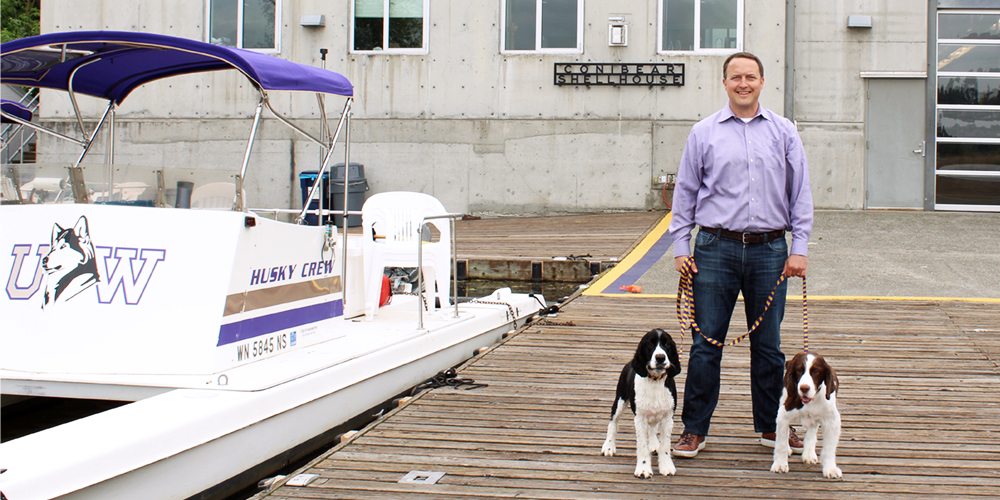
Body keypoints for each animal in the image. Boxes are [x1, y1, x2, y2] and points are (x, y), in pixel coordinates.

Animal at [600, 328, 680, 476]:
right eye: (650, 345)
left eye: (667, 345)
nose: (660, 357)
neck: (655, 381)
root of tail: (629, 362)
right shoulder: (640, 418)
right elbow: (642, 446)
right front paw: (643, 469)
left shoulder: (668, 417)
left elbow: (665, 444)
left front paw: (666, 466)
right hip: (620, 399)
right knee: (613, 421)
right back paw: (608, 446)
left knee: (653, 427)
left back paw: (654, 444)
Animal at [768, 350, 840, 478]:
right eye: (799, 370)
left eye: (816, 371)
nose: (804, 388)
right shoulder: (783, 414)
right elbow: (781, 442)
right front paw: (780, 464)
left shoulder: (833, 421)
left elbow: (830, 448)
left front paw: (830, 469)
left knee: (812, 430)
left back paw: (809, 454)